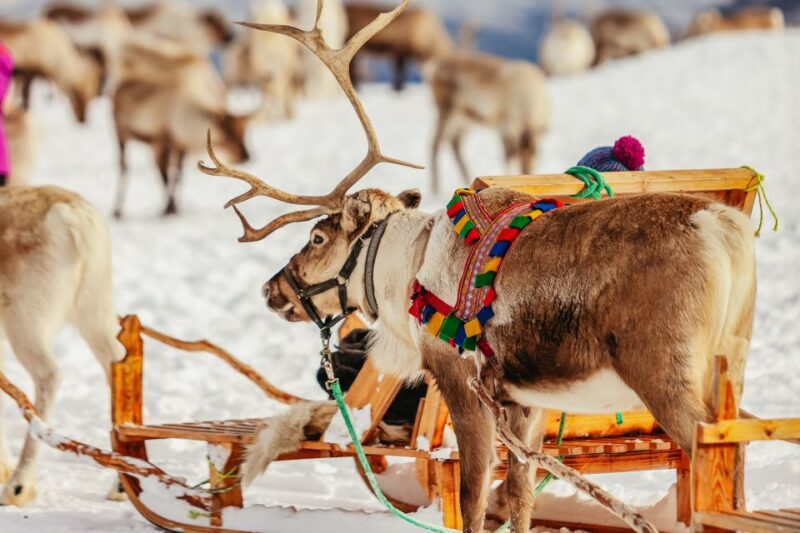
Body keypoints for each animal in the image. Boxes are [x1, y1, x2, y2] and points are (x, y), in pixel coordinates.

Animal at [0, 186, 126, 506]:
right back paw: (122, 485)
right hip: (95, 309)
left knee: (49, 376)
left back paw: (19, 485)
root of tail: (72, 215)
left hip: (26, 321)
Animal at [113, 40, 250, 217]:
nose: (247, 155)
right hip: (120, 132)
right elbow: (165, 176)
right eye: (228, 134)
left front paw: (176, 207)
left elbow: (178, 176)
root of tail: (118, 87)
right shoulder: (162, 140)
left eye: (243, 133)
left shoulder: (180, 146)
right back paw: (117, 209)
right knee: (124, 166)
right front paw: (168, 208)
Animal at [199, 1, 756, 531]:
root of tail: (724, 231)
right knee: (736, 461)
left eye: (316, 238)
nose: (271, 290)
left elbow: (471, 497)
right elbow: (521, 495)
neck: (407, 270)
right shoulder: (525, 402)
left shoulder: (460, 383)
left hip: (666, 371)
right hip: (728, 364)